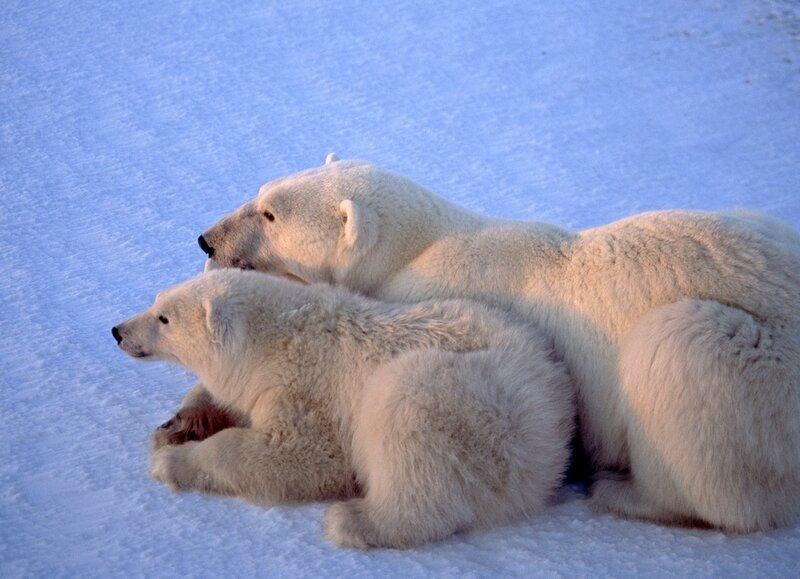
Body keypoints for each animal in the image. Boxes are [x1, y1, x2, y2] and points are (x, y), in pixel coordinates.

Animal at [113, 269, 575, 549]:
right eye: (157, 299)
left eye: (164, 318)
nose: (118, 330)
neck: (276, 339)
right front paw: (177, 426)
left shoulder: (309, 388)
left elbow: (304, 455)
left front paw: (173, 463)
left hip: (479, 410)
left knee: (408, 424)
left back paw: (355, 521)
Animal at [180, 155, 800, 533]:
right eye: (261, 192)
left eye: (270, 214)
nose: (207, 238)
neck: (423, 245)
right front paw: (186, 417)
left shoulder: (438, 296)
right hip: (767, 227)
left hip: (755, 366)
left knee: (678, 358)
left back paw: (625, 492)